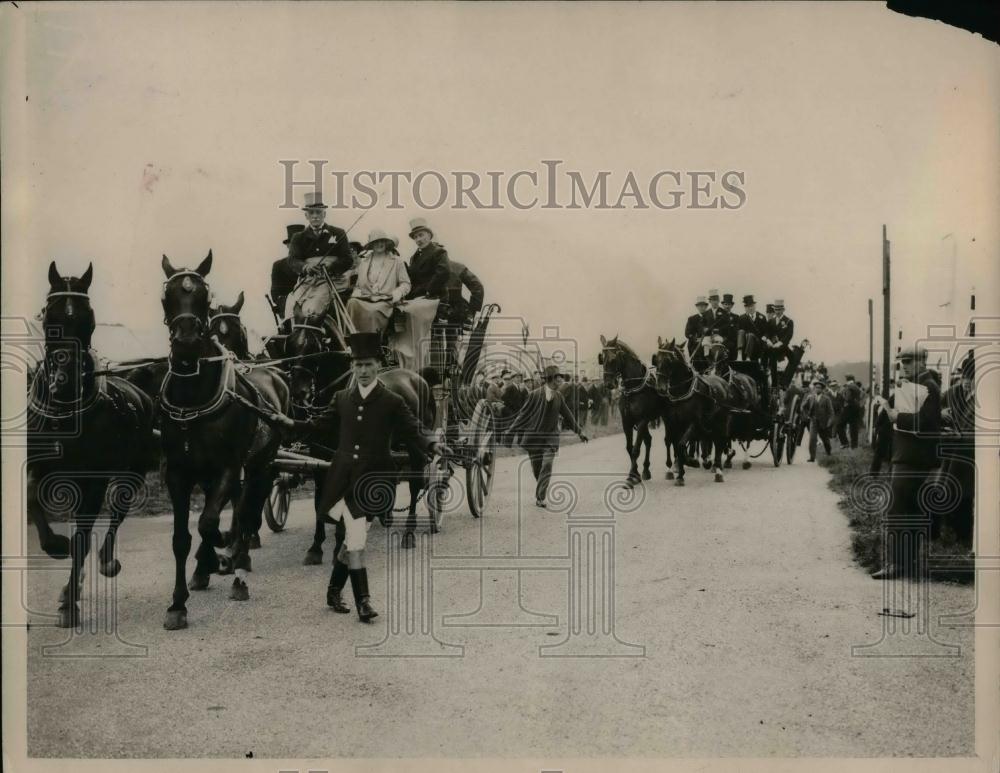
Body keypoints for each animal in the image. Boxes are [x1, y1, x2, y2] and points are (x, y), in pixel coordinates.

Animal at [26, 262, 156, 624]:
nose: (64, 378)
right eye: (50, 316)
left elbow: (83, 539)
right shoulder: (39, 467)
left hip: (132, 471)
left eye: (89, 319)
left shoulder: (93, 481)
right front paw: (55, 546)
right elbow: (32, 499)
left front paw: (70, 602)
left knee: (117, 512)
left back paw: (106, 560)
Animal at [157, 252, 290, 628]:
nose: (186, 341)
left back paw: (237, 565)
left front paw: (223, 552)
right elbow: (182, 537)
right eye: (167, 296)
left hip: (263, 464)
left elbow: (210, 522)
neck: (193, 398)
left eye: (204, 297)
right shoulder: (178, 473)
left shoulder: (229, 467)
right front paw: (178, 603)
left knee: (248, 510)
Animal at [596, 332, 668, 482]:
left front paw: (632, 474)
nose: (608, 384)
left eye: (613, 359)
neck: (633, 388)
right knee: (648, 440)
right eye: (601, 358)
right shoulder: (627, 422)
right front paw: (635, 473)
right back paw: (646, 470)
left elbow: (636, 449)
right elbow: (629, 447)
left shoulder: (641, 421)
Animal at [648, 336, 728, 482]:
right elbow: (673, 443)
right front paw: (677, 470)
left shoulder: (693, 423)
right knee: (709, 439)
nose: (660, 388)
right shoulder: (672, 422)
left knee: (719, 441)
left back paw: (718, 469)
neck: (682, 391)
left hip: (722, 421)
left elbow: (681, 444)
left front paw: (690, 462)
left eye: (669, 360)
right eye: (656, 359)